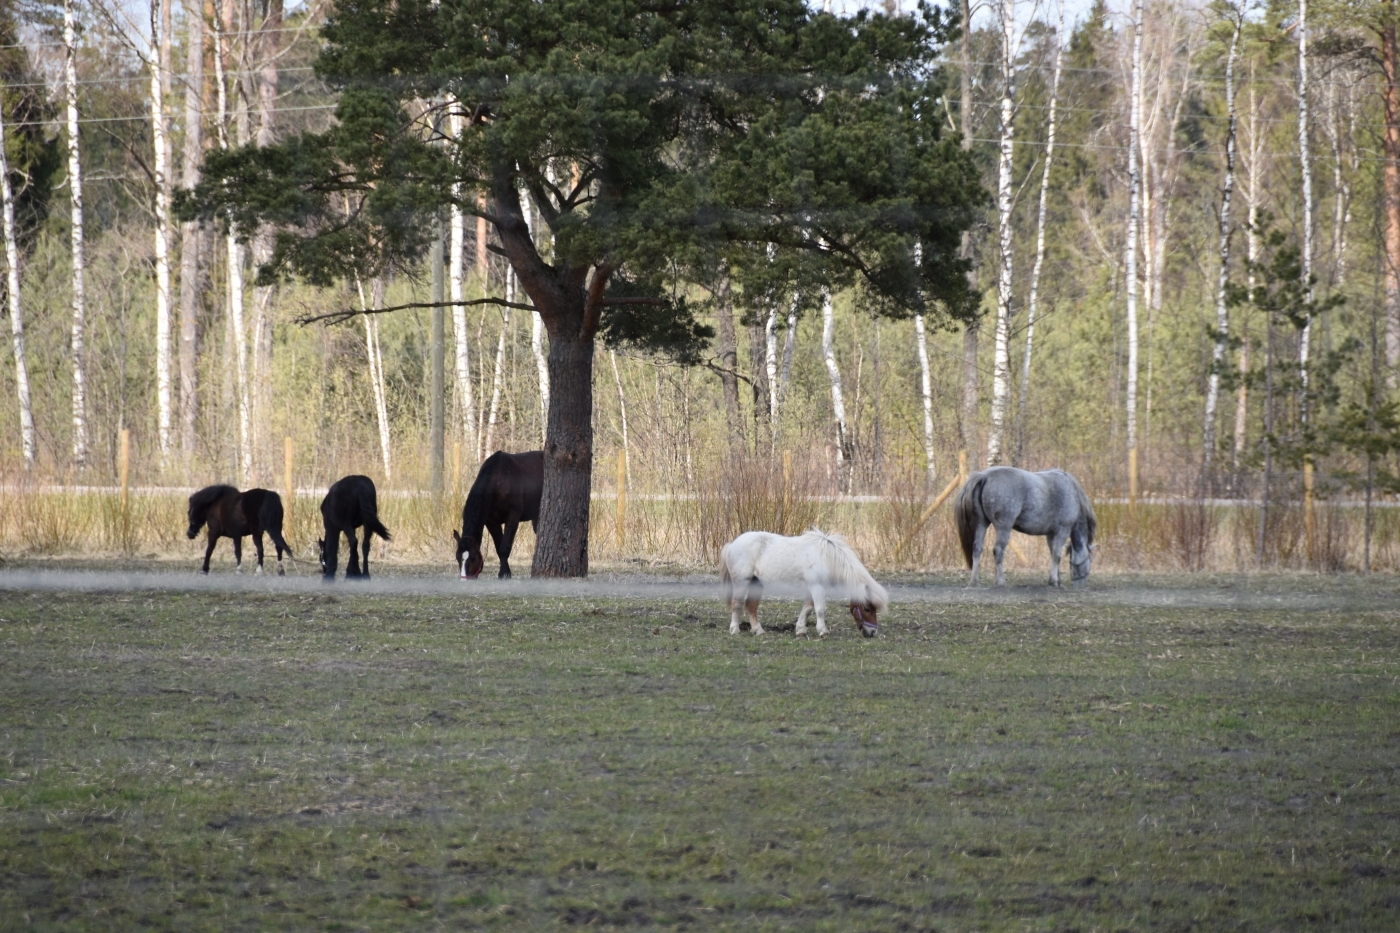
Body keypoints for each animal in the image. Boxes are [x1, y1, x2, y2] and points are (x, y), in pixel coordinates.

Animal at [722, 526, 884, 636]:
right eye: (867, 609)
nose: (872, 632)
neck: (828, 557)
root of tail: (732, 544)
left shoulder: (812, 587)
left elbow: (808, 608)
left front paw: (800, 629)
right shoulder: (817, 586)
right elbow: (819, 609)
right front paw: (823, 631)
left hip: (756, 583)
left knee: (751, 605)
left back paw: (758, 631)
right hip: (742, 581)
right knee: (737, 603)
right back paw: (735, 629)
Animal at [957, 467, 1097, 585]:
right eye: (1090, 559)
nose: (1080, 584)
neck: (1071, 492)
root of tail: (985, 476)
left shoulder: (1051, 534)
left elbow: (1053, 553)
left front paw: (1056, 579)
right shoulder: (1062, 531)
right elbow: (1057, 556)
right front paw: (1054, 581)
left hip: (981, 524)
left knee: (977, 549)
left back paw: (974, 581)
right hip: (1003, 528)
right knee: (998, 550)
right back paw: (1000, 581)